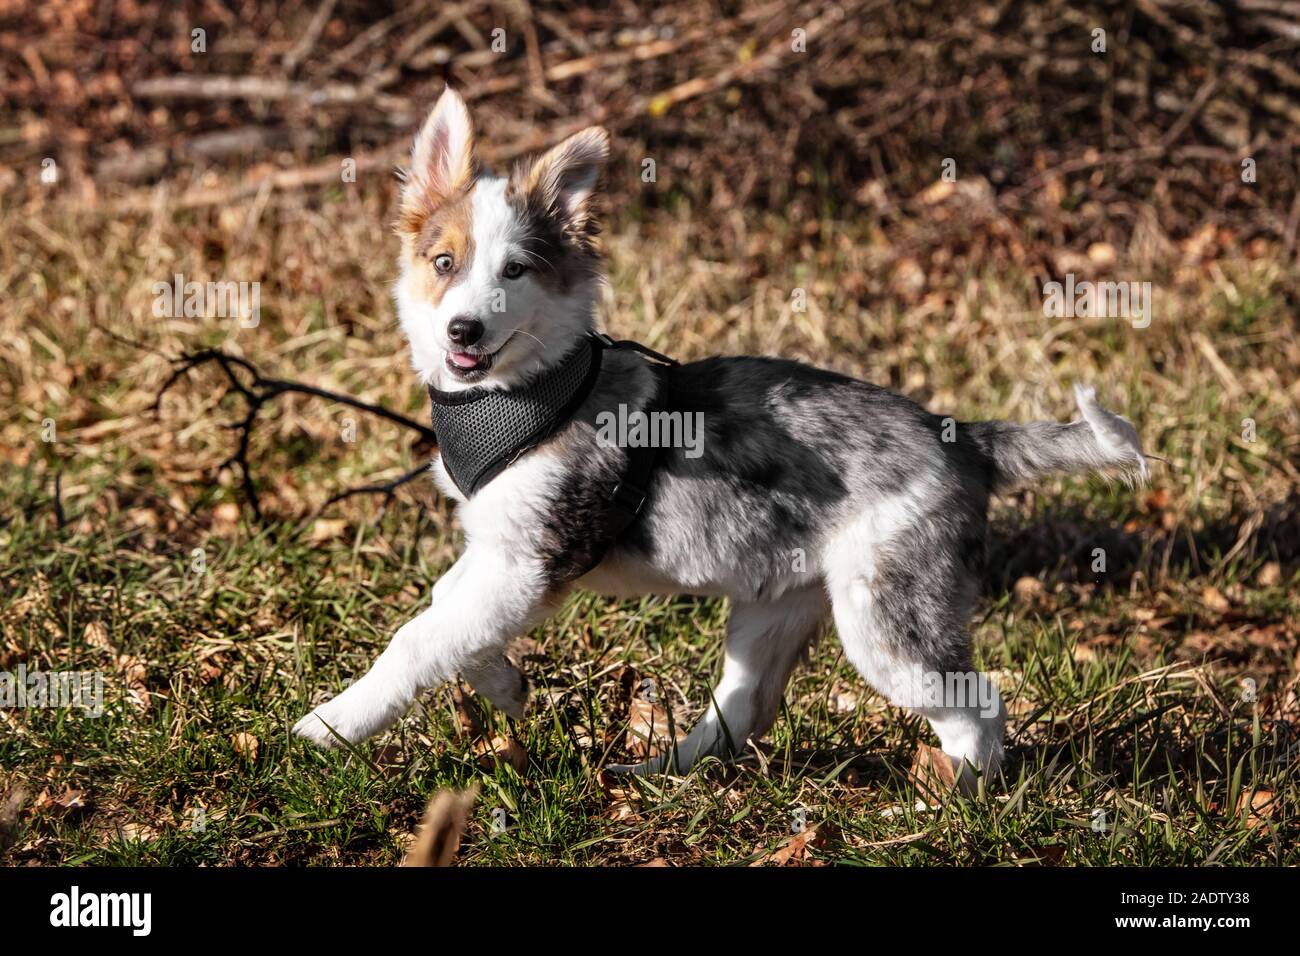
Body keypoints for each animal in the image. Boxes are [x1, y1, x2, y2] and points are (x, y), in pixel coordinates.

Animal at [289, 89, 1144, 790]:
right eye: (443, 262)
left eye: (516, 273)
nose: (464, 331)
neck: (524, 392)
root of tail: (966, 441)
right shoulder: (498, 554)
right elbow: (443, 617)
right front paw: (503, 686)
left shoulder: (526, 566)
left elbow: (416, 640)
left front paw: (333, 723)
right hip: (774, 608)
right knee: (745, 709)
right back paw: (660, 773)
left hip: (889, 620)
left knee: (978, 704)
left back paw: (956, 800)